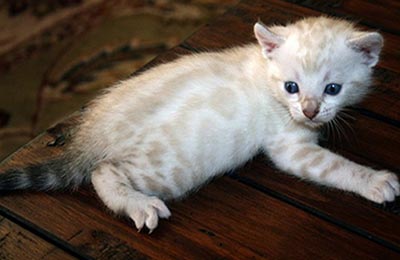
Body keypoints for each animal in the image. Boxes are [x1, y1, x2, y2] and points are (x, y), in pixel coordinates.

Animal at [0, 16, 400, 232]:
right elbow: (332, 166)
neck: (264, 71)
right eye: (292, 87)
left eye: (333, 89)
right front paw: (376, 181)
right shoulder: (289, 147)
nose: (310, 111)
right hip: (169, 169)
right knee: (102, 171)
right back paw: (138, 205)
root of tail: (92, 132)